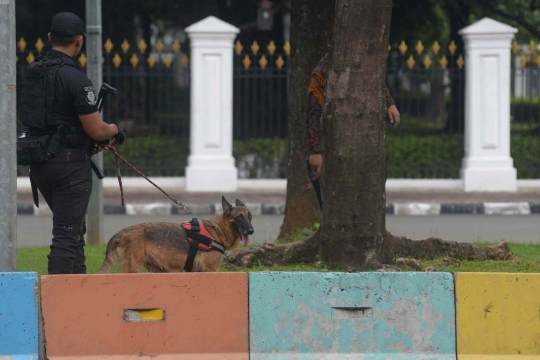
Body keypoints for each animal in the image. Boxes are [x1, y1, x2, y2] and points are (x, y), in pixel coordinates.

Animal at [96, 197, 254, 272]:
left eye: (250, 216)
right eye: (239, 218)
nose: (251, 231)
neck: (216, 231)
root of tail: (121, 232)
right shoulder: (211, 270)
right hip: (134, 268)